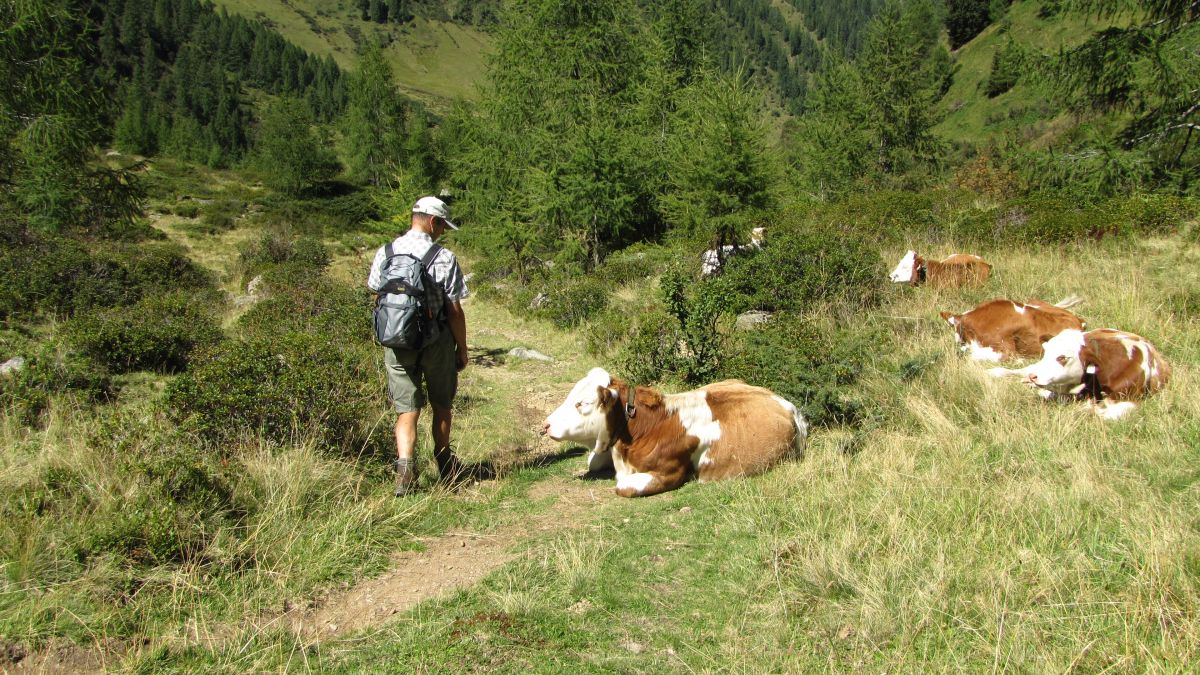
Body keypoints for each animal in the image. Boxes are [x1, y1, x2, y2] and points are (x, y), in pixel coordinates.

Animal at [542, 365, 806, 497]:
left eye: (582, 403)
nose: (546, 424)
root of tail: (785, 403)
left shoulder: (668, 473)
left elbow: (623, 486)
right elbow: (593, 460)